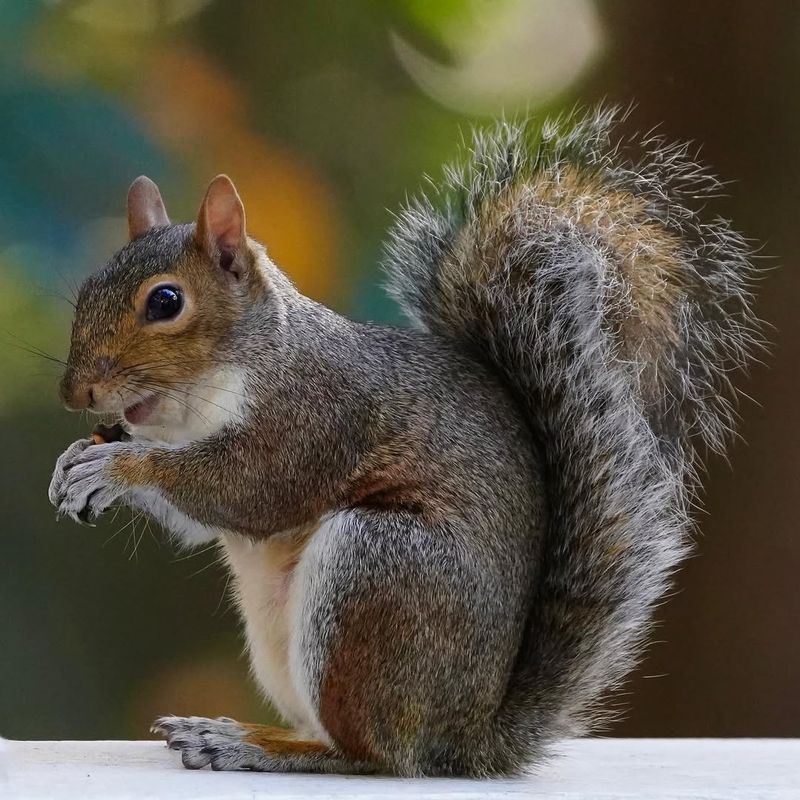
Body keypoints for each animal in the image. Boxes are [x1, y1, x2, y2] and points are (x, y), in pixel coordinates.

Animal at [48, 106, 759, 777]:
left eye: (166, 302)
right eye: (86, 288)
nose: (74, 393)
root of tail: (464, 738)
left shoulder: (318, 415)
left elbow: (252, 491)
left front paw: (117, 466)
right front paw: (76, 461)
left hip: (377, 571)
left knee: (370, 753)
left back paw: (253, 744)